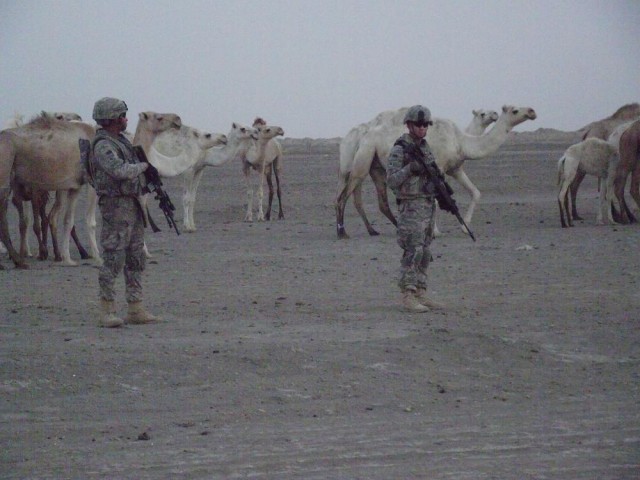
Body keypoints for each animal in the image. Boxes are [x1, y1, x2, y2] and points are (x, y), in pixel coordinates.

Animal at [336, 106, 536, 239]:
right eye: (515, 110)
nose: (532, 111)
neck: (461, 140)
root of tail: (363, 134)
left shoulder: (455, 169)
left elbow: (475, 192)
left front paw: (464, 228)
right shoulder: (438, 167)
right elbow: (436, 199)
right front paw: (436, 231)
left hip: (376, 166)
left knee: (378, 200)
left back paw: (380, 229)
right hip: (362, 159)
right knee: (344, 195)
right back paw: (342, 232)